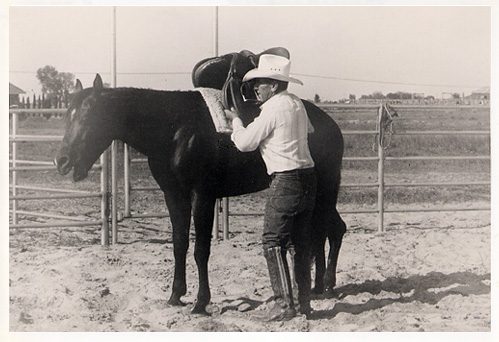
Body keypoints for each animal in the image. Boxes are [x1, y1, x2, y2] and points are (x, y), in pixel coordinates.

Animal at [53, 73, 344, 314]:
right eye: (68, 114)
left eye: (90, 114)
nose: (61, 160)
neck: (175, 129)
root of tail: (330, 124)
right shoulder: (174, 196)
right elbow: (179, 244)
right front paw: (175, 295)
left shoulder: (202, 197)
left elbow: (201, 249)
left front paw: (201, 302)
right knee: (323, 233)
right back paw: (317, 287)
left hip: (326, 191)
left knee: (329, 231)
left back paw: (325, 285)